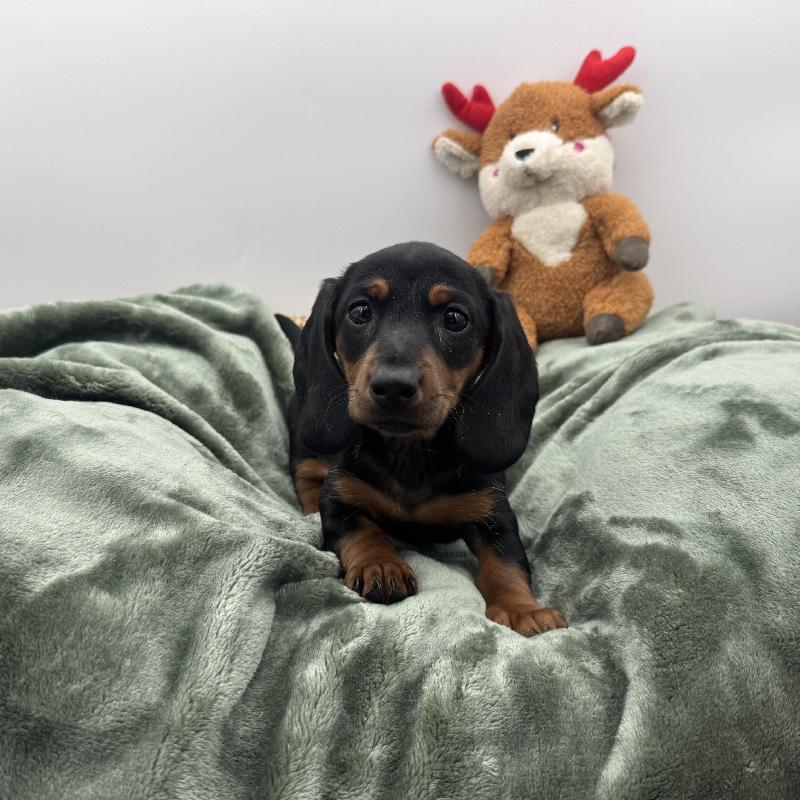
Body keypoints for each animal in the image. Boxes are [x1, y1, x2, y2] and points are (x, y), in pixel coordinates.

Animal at [279, 242, 566, 637]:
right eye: (360, 311)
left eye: (455, 319)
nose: (393, 386)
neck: (410, 452)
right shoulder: (340, 498)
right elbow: (361, 530)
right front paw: (381, 565)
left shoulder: (492, 510)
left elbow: (507, 561)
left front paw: (523, 608)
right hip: (307, 444)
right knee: (306, 477)